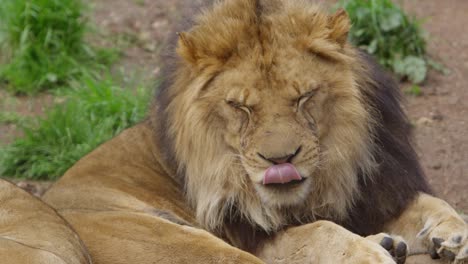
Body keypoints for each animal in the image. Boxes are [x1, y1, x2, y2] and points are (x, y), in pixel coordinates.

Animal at [22, 0, 468, 262]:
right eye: (240, 107)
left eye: (304, 97)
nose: (280, 160)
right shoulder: (250, 232)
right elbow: (315, 231)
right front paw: (365, 252)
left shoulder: (373, 191)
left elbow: (430, 203)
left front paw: (454, 234)